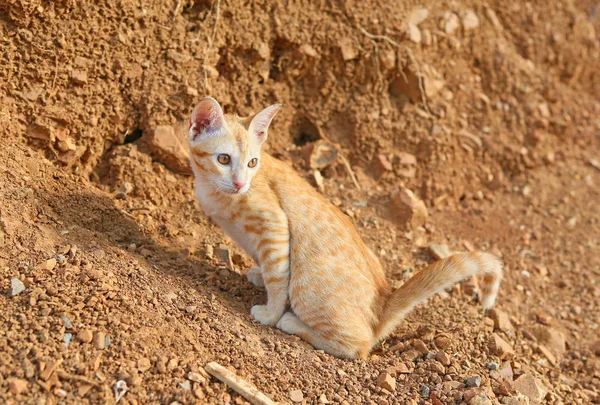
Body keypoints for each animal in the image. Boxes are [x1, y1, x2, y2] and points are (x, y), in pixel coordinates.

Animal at [186, 96, 502, 358]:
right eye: (224, 159)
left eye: (252, 163)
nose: (241, 184)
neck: (216, 192)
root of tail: (385, 299)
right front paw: (257, 273)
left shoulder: (274, 224)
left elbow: (277, 277)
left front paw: (270, 313)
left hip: (308, 283)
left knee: (357, 346)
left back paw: (292, 323)